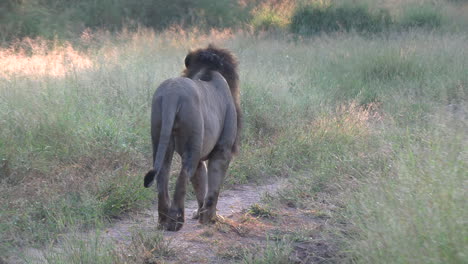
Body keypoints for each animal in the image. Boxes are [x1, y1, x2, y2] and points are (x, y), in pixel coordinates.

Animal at [144, 43, 241, 231]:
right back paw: (176, 221)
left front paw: (200, 215)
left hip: (160, 136)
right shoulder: (223, 149)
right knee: (182, 176)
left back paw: (163, 220)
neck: (207, 71)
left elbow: (200, 183)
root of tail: (172, 94)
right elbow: (213, 186)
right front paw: (210, 218)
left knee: (163, 175)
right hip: (192, 146)